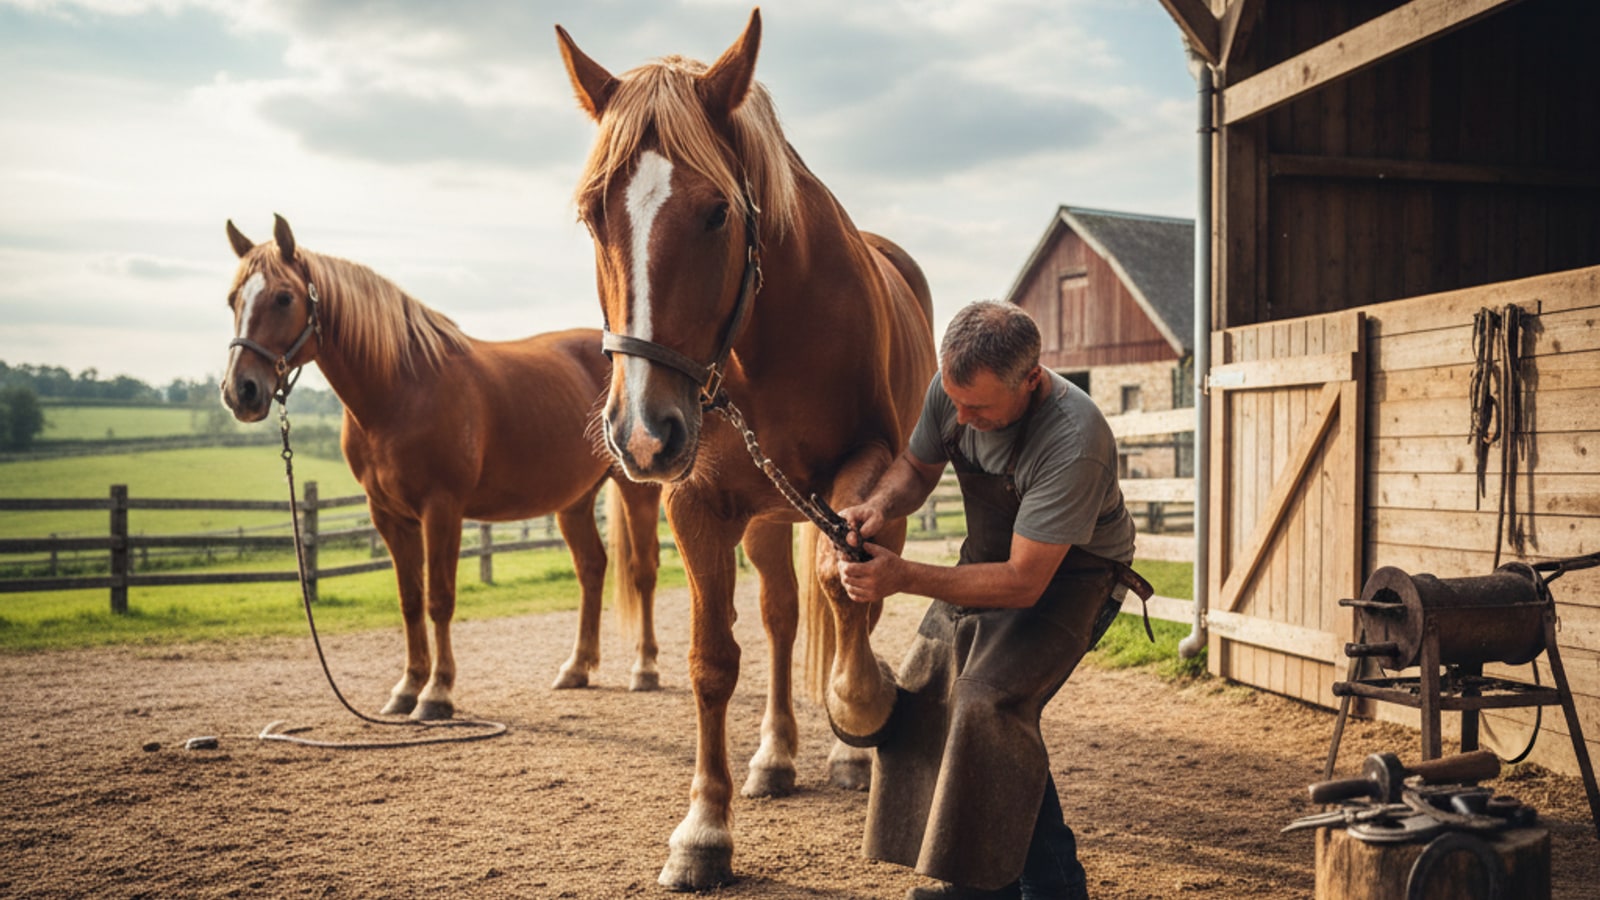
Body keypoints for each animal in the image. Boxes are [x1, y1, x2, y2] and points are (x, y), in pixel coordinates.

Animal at [219, 214, 665, 720]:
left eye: (283, 297)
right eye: (233, 300)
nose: (241, 391)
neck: (400, 389)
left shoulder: (442, 509)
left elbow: (439, 599)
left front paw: (437, 693)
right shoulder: (387, 515)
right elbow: (410, 600)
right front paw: (407, 688)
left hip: (637, 490)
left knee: (643, 569)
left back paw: (645, 669)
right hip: (573, 500)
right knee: (592, 568)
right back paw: (577, 668)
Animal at [558, 9, 936, 889]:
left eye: (717, 213)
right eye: (594, 214)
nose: (643, 432)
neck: (761, 341)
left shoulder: (865, 479)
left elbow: (846, 590)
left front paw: (861, 709)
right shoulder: (697, 503)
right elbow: (715, 659)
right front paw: (704, 829)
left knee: (847, 596)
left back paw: (845, 750)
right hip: (765, 518)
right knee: (781, 617)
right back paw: (775, 755)